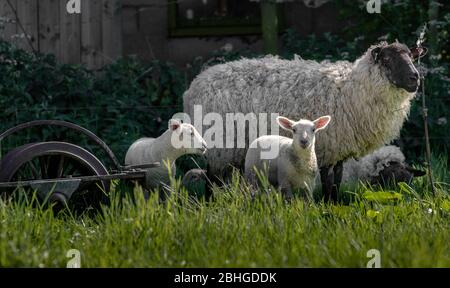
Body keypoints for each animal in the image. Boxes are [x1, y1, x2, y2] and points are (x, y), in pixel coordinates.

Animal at [183, 41, 426, 201]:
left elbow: (336, 179)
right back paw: (212, 204)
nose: (415, 78)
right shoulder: (328, 145)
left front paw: (334, 203)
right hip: (221, 144)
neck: (351, 90)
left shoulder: (338, 148)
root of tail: (195, 86)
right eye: (387, 59)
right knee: (211, 178)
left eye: (411, 57)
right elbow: (327, 180)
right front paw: (328, 205)